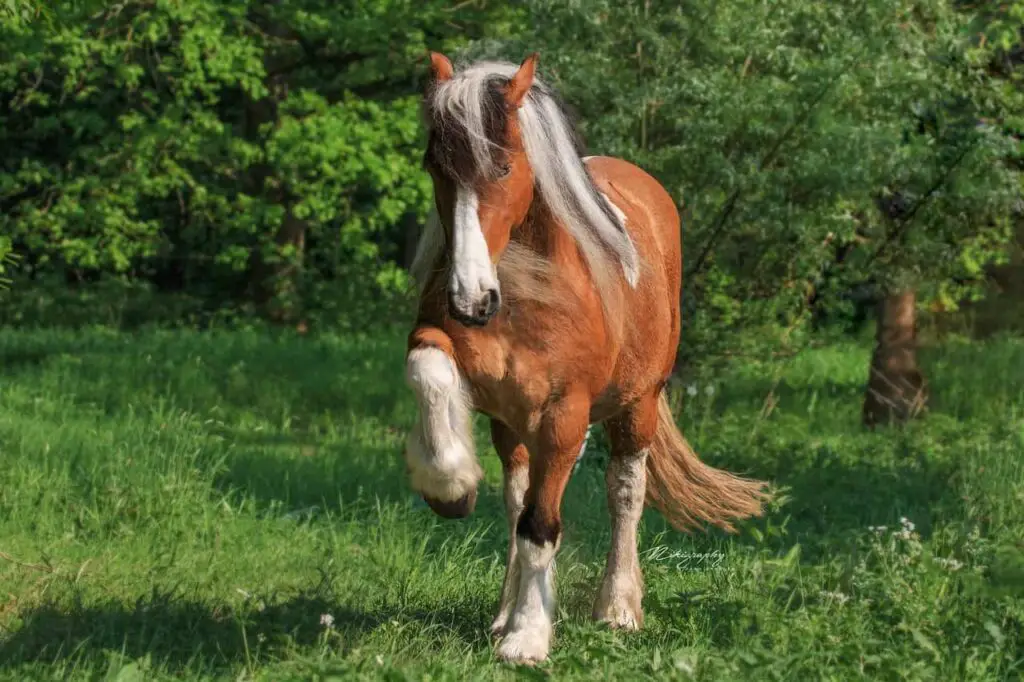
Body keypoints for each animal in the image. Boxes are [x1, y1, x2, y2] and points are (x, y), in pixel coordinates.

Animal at [401, 53, 770, 663]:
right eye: (434, 165)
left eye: (503, 166)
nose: (470, 300)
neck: (527, 293)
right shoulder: (457, 360)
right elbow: (428, 373)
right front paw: (449, 485)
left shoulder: (564, 413)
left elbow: (542, 527)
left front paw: (528, 637)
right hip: (513, 427)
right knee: (517, 499)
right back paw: (504, 611)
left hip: (637, 405)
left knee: (624, 493)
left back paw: (617, 608)